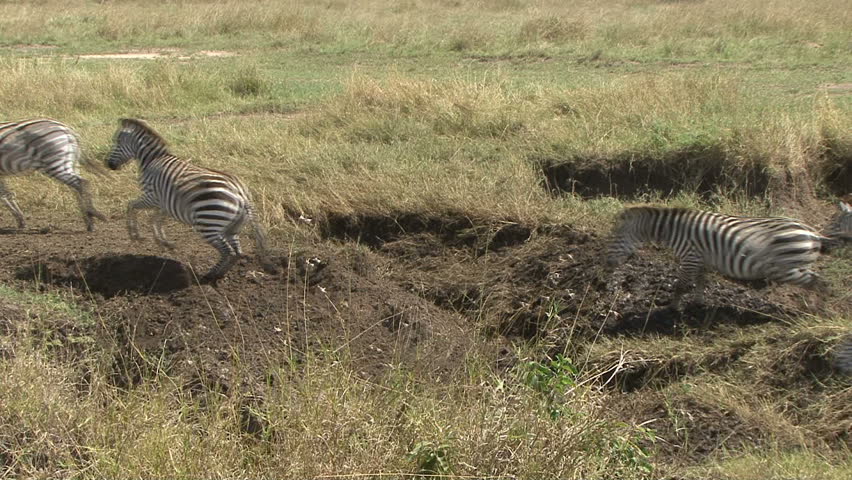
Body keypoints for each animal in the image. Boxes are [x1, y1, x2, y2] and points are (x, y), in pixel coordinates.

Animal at [106, 118, 277, 282]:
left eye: (117, 142)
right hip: (233, 226)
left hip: (208, 223)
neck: (152, 160)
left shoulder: (151, 196)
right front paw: (163, 241)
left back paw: (210, 275)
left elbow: (131, 206)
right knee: (237, 252)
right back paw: (219, 274)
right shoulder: (164, 202)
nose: (109, 165)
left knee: (228, 251)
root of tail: (241, 194)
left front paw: (133, 234)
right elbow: (155, 220)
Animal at [605, 206, 831, 308]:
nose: (605, 262)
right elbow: (700, 282)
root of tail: (813, 233)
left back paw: (815, 311)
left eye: (616, 238)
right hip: (794, 267)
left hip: (786, 268)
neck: (674, 230)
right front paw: (698, 305)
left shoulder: (690, 257)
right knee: (815, 282)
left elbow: (680, 285)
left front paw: (672, 309)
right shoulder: (701, 260)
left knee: (818, 283)